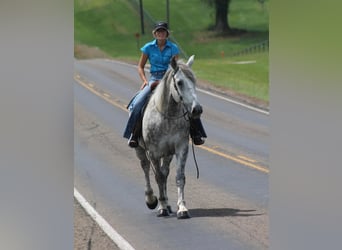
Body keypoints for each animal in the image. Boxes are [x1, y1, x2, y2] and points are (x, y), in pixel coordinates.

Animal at [134, 55, 203, 219]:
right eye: (180, 82)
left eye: (194, 81)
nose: (197, 109)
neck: (167, 116)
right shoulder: (153, 152)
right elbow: (157, 177)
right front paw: (161, 207)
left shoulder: (181, 148)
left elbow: (179, 177)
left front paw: (182, 208)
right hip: (140, 150)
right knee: (146, 169)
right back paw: (152, 199)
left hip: (167, 154)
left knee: (165, 172)